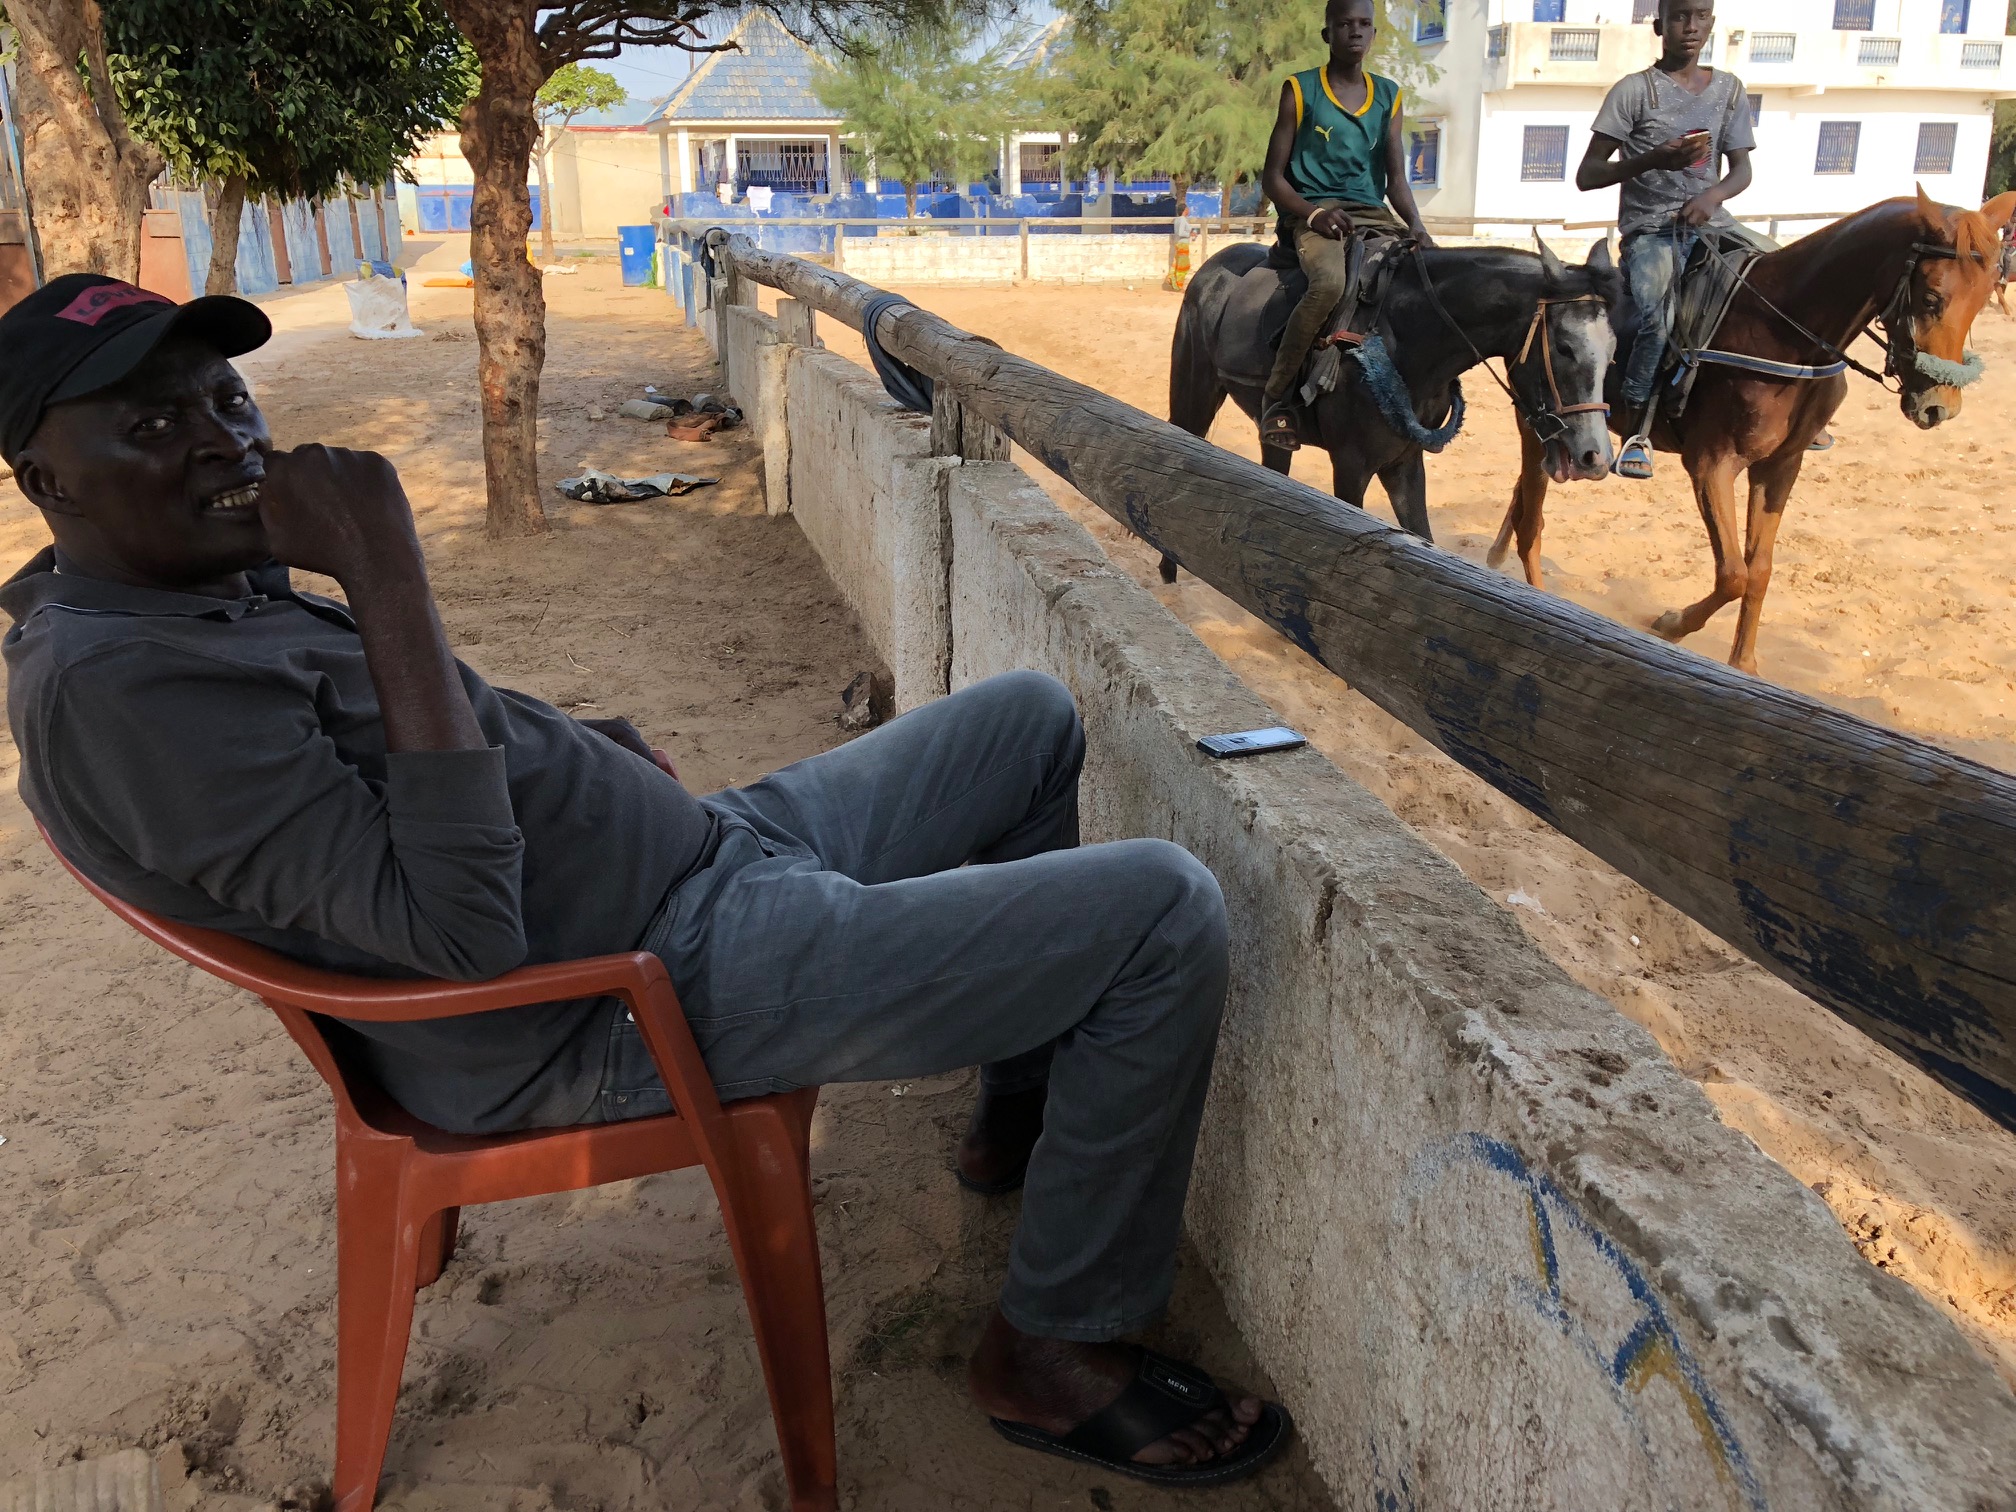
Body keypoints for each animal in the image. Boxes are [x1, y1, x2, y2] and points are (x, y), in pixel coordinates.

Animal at [1491, 186, 2007, 673]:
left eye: (1985, 298)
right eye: (1932, 297)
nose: (1940, 406)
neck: (1784, 337)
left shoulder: (1780, 467)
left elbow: (1758, 570)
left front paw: (1743, 662)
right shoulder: (1711, 464)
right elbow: (1733, 573)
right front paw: (1673, 624)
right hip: (1537, 419)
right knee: (1531, 497)